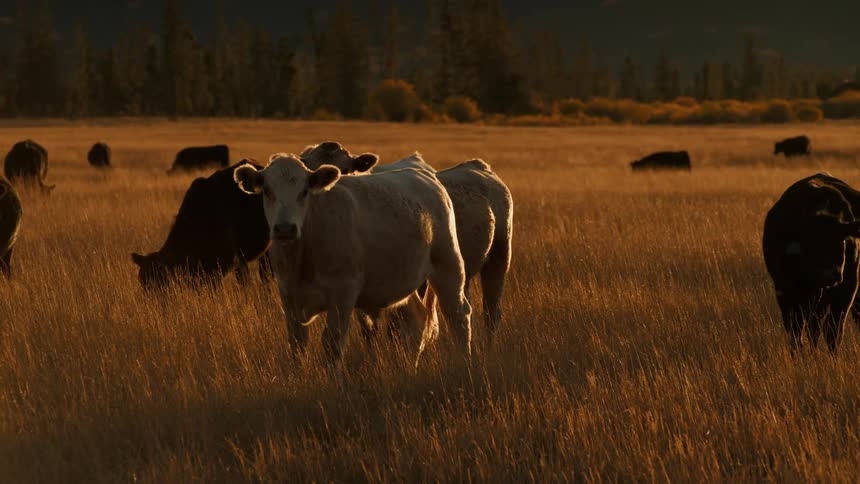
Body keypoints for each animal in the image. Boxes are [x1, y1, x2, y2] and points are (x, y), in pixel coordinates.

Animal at [233, 154, 472, 366]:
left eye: (304, 191)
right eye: (267, 191)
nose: (284, 228)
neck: (301, 258)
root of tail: (425, 176)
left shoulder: (343, 294)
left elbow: (332, 345)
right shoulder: (288, 295)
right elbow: (296, 346)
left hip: (448, 266)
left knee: (458, 316)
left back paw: (464, 364)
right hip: (405, 279)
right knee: (415, 321)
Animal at [300, 143, 513, 345]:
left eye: (345, 170)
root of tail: (477, 165)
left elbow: (400, 327)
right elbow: (369, 330)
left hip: (499, 256)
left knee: (490, 313)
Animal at [763, 173, 860, 352]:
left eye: (841, 241)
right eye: (811, 244)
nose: (830, 274)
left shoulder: (848, 289)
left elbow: (834, 332)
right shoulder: (785, 291)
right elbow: (796, 331)